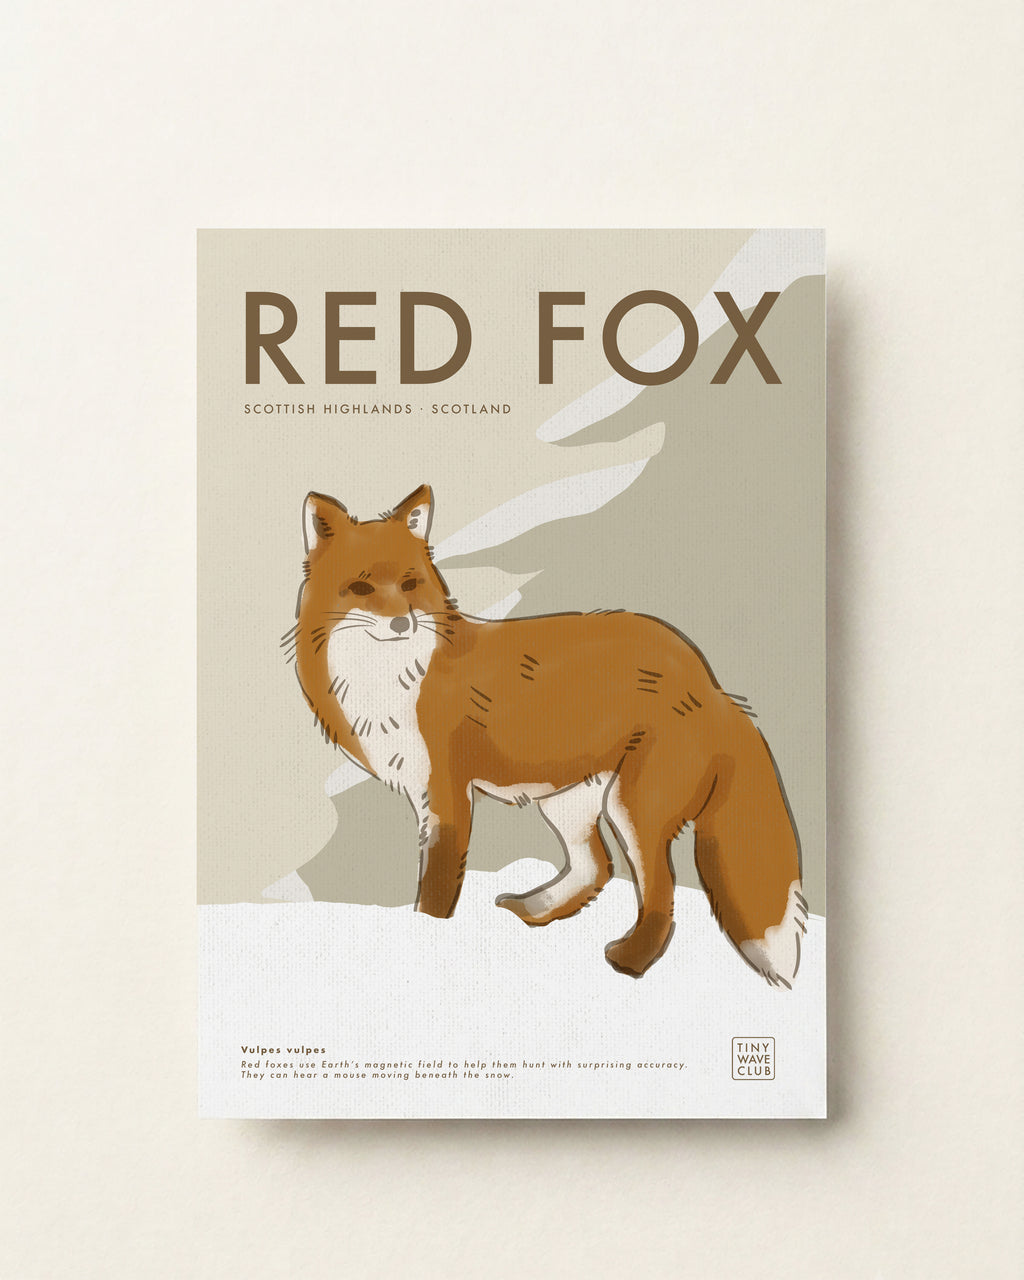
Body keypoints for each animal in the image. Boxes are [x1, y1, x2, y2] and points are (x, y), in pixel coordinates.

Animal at [284, 484, 808, 983]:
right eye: (361, 586)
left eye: (409, 584)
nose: (400, 622)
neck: (391, 680)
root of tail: (710, 680)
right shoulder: (425, 792)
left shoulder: (447, 795)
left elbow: (434, 892)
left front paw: (428, 937)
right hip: (567, 799)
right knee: (596, 866)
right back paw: (535, 910)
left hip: (634, 807)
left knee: (660, 891)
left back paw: (631, 961)